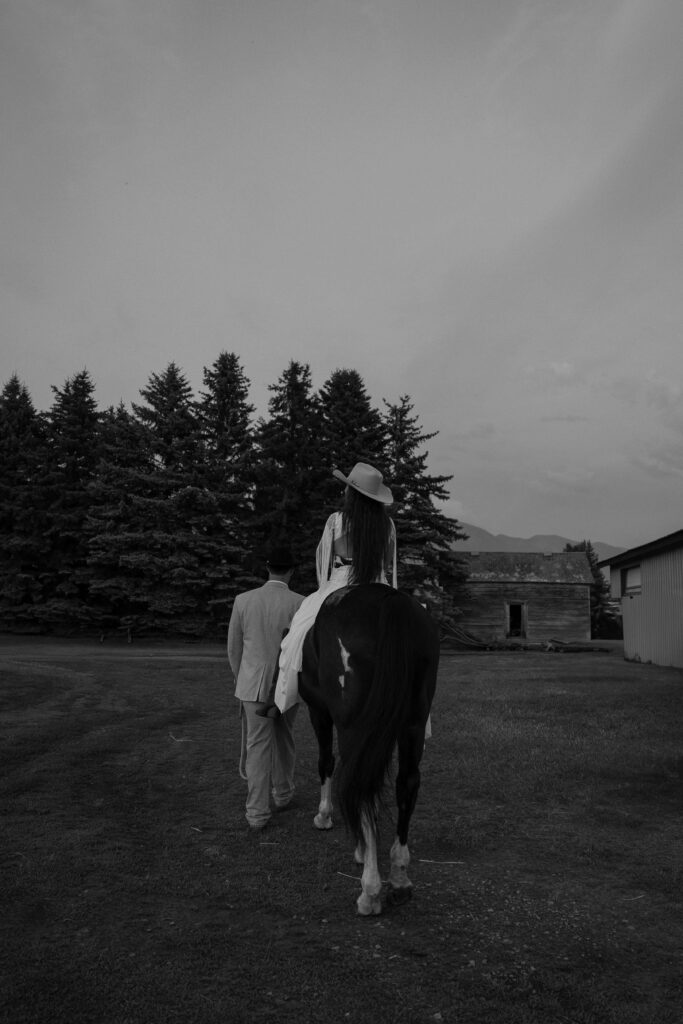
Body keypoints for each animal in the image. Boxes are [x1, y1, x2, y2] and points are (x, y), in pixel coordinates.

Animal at [299, 583, 440, 916]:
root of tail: (390, 598)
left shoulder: (319, 712)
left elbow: (326, 762)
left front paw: (326, 817)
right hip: (412, 722)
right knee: (406, 783)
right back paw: (399, 879)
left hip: (354, 724)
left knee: (359, 784)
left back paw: (370, 890)